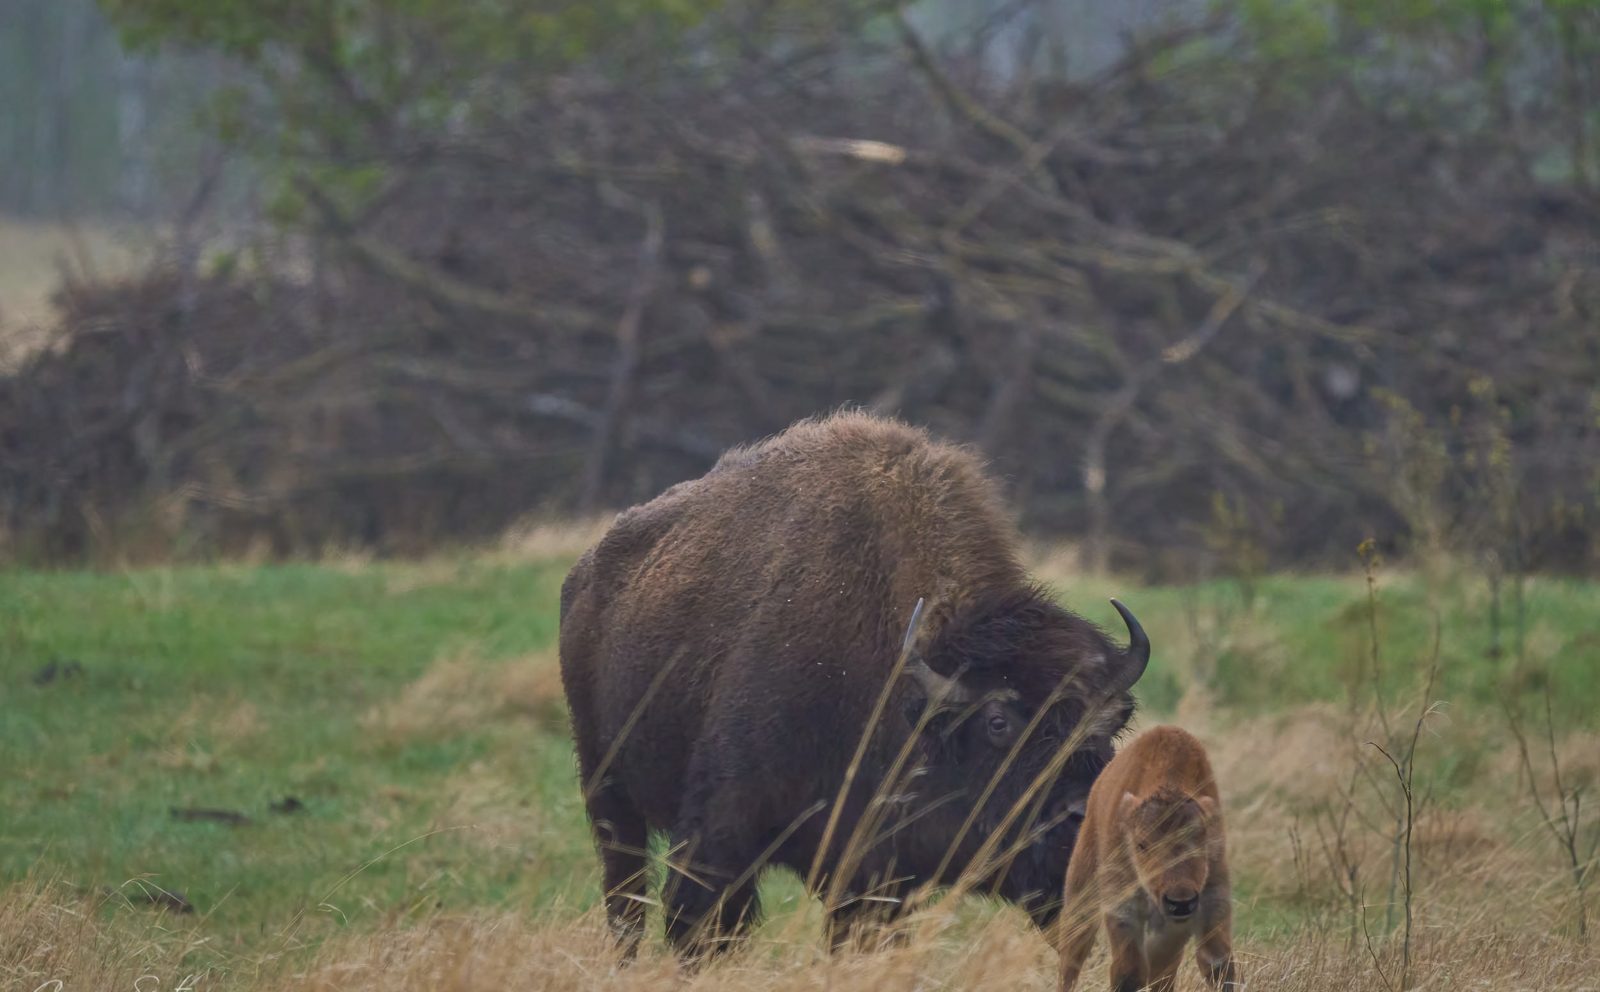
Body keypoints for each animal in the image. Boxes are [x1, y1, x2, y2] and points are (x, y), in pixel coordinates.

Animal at [557, 412, 1151, 956]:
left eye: (1113, 718)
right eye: (998, 721)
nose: (1086, 815)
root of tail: (586, 573)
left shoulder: (874, 879)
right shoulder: (720, 836)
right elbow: (702, 927)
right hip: (609, 795)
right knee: (626, 896)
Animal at [1056, 725, 1239, 992]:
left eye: (1202, 841)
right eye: (1141, 844)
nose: (1180, 902)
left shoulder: (1213, 898)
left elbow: (1215, 963)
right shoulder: (1123, 907)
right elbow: (1129, 971)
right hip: (1081, 892)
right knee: (1072, 955)